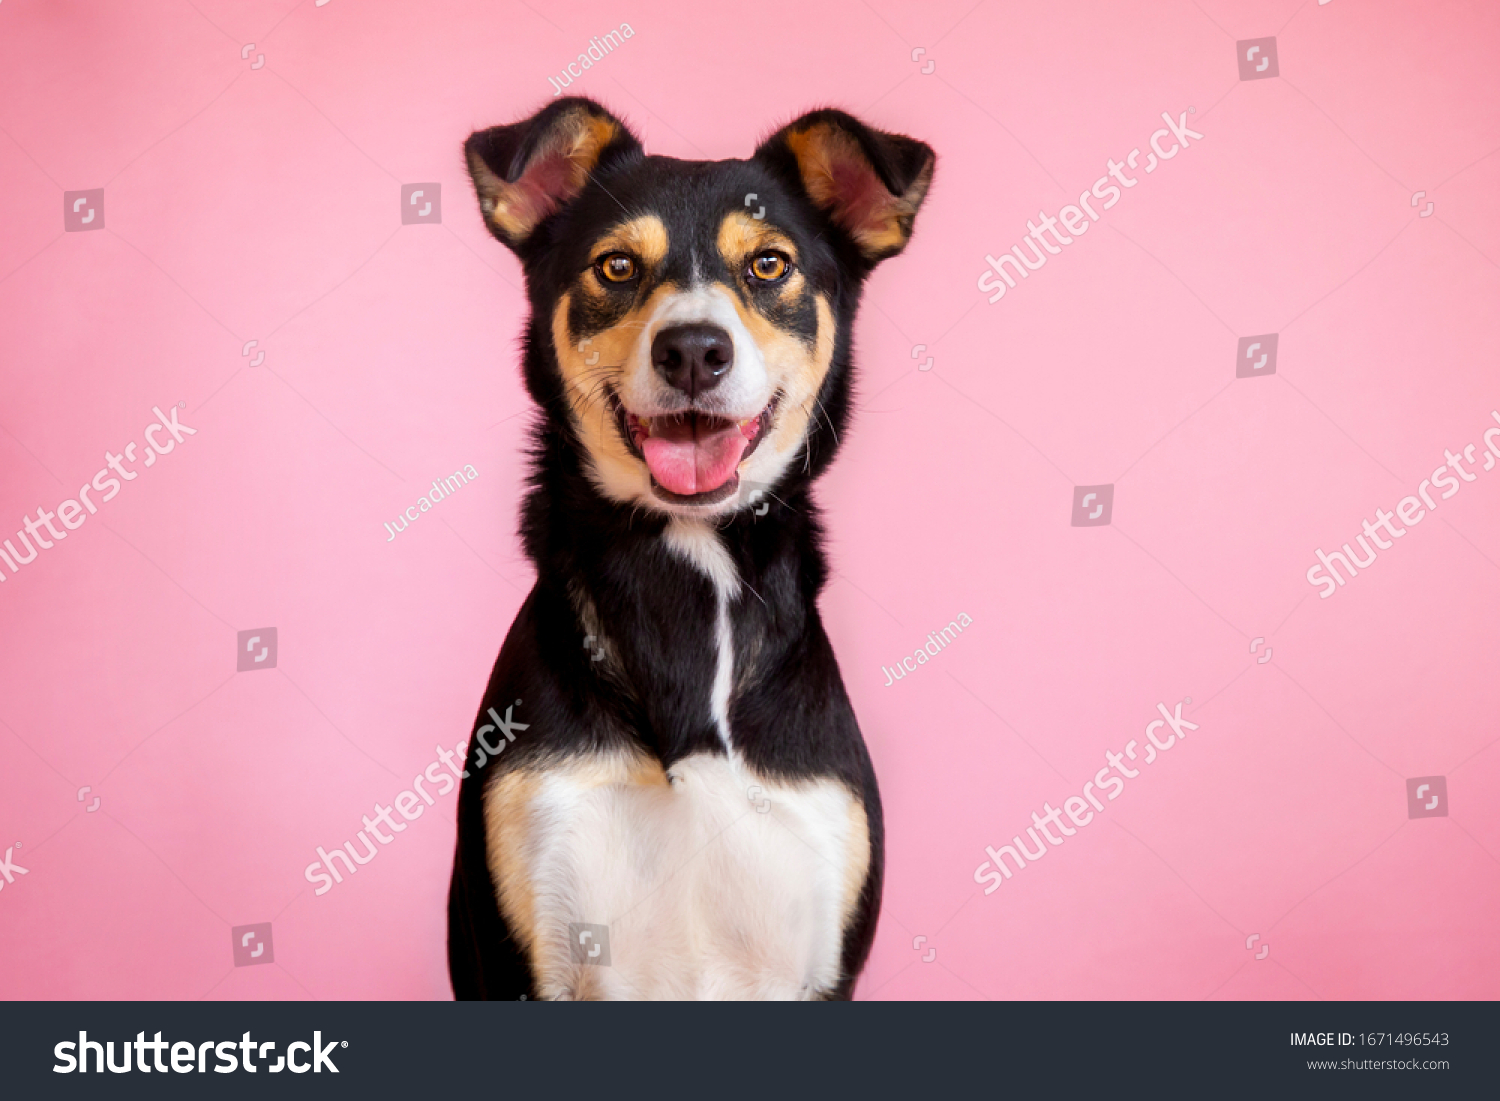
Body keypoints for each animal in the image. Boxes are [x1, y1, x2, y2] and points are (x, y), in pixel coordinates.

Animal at [447, 99, 936, 1002]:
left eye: (770, 264)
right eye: (615, 266)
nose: (694, 350)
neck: (685, 564)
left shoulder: (819, 958)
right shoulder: (527, 947)